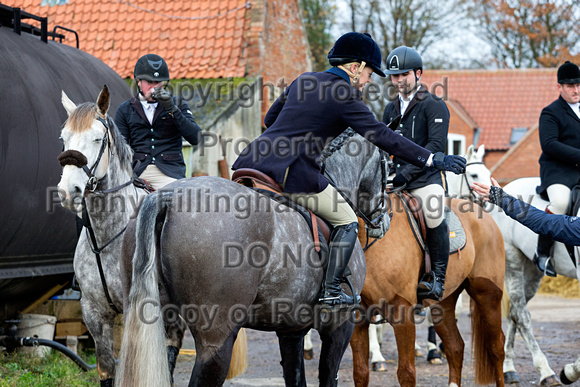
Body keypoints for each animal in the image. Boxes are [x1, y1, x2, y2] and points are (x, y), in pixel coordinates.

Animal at [55, 86, 187, 386]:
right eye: (63, 138)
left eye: (96, 138)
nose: (68, 191)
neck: (107, 237)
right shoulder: (94, 313)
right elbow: (106, 369)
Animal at [348, 163, 508, 384]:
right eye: (474, 174)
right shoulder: (358, 315)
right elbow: (360, 373)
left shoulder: (402, 311)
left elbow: (406, 373)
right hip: (444, 302)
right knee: (455, 346)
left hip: (487, 294)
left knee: (496, 347)